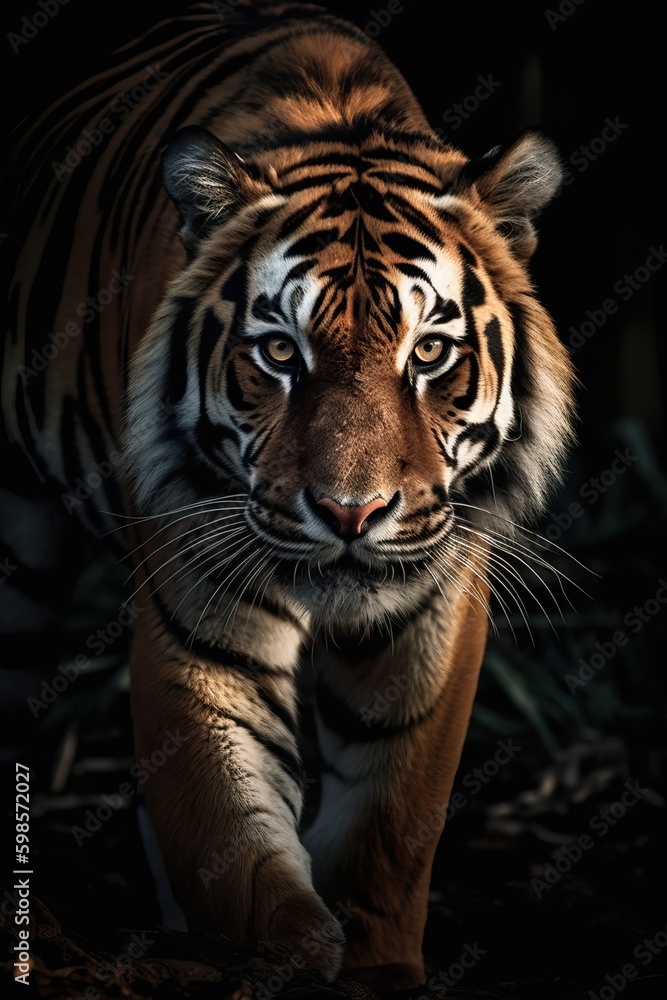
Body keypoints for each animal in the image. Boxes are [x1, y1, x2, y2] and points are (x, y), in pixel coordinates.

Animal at [2, 0, 576, 988]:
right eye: (279, 352)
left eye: (429, 353)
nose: (350, 513)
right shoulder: (197, 623)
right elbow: (231, 837)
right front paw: (288, 954)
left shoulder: (433, 609)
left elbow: (389, 827)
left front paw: (373, 963)